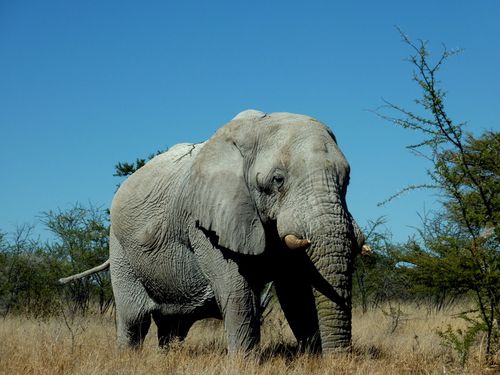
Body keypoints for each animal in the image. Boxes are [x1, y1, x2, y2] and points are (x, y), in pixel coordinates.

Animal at [60, 110, 370, 356]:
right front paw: (245, 364)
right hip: (120, 248)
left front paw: (311, 360)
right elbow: (237, 290)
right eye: (277, 180)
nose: (340, 360)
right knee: (134, 319)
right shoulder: (204, 224)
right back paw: (129, 359)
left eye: (347, 179)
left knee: (171, 325)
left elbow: (296, 291)